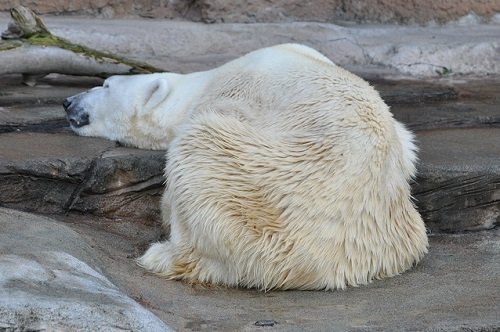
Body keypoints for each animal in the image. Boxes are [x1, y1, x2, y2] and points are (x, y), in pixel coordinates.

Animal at [64, 44, 428, 290]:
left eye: (106, 84)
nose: (67, 101)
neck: (203, 83)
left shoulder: (234, 97)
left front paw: (166, 209)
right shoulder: (401, 134)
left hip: (263, 214)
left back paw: (162, 253)